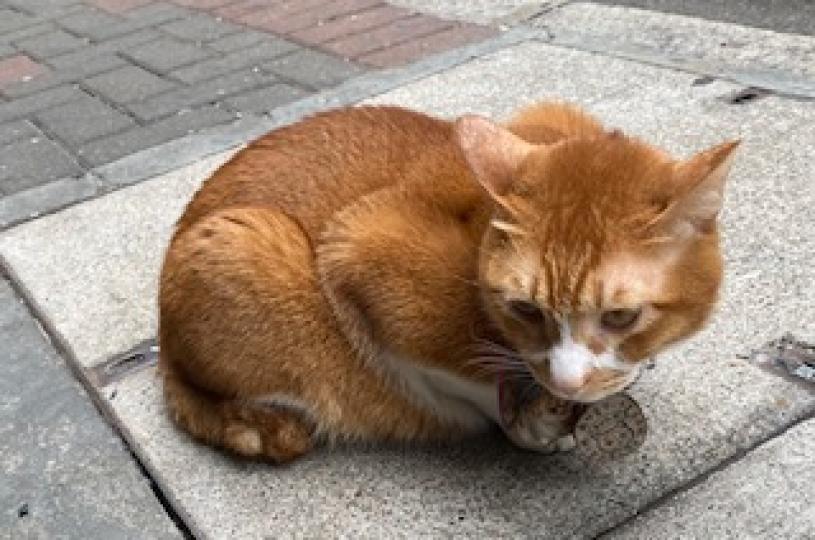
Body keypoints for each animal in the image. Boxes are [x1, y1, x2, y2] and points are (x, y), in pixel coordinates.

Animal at [159, 103, 740, 462]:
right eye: (526, 310)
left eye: (621, 316)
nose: (569, 382)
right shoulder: (358, 247)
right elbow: (464, 377)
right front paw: (530, 422)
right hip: (244, 243)